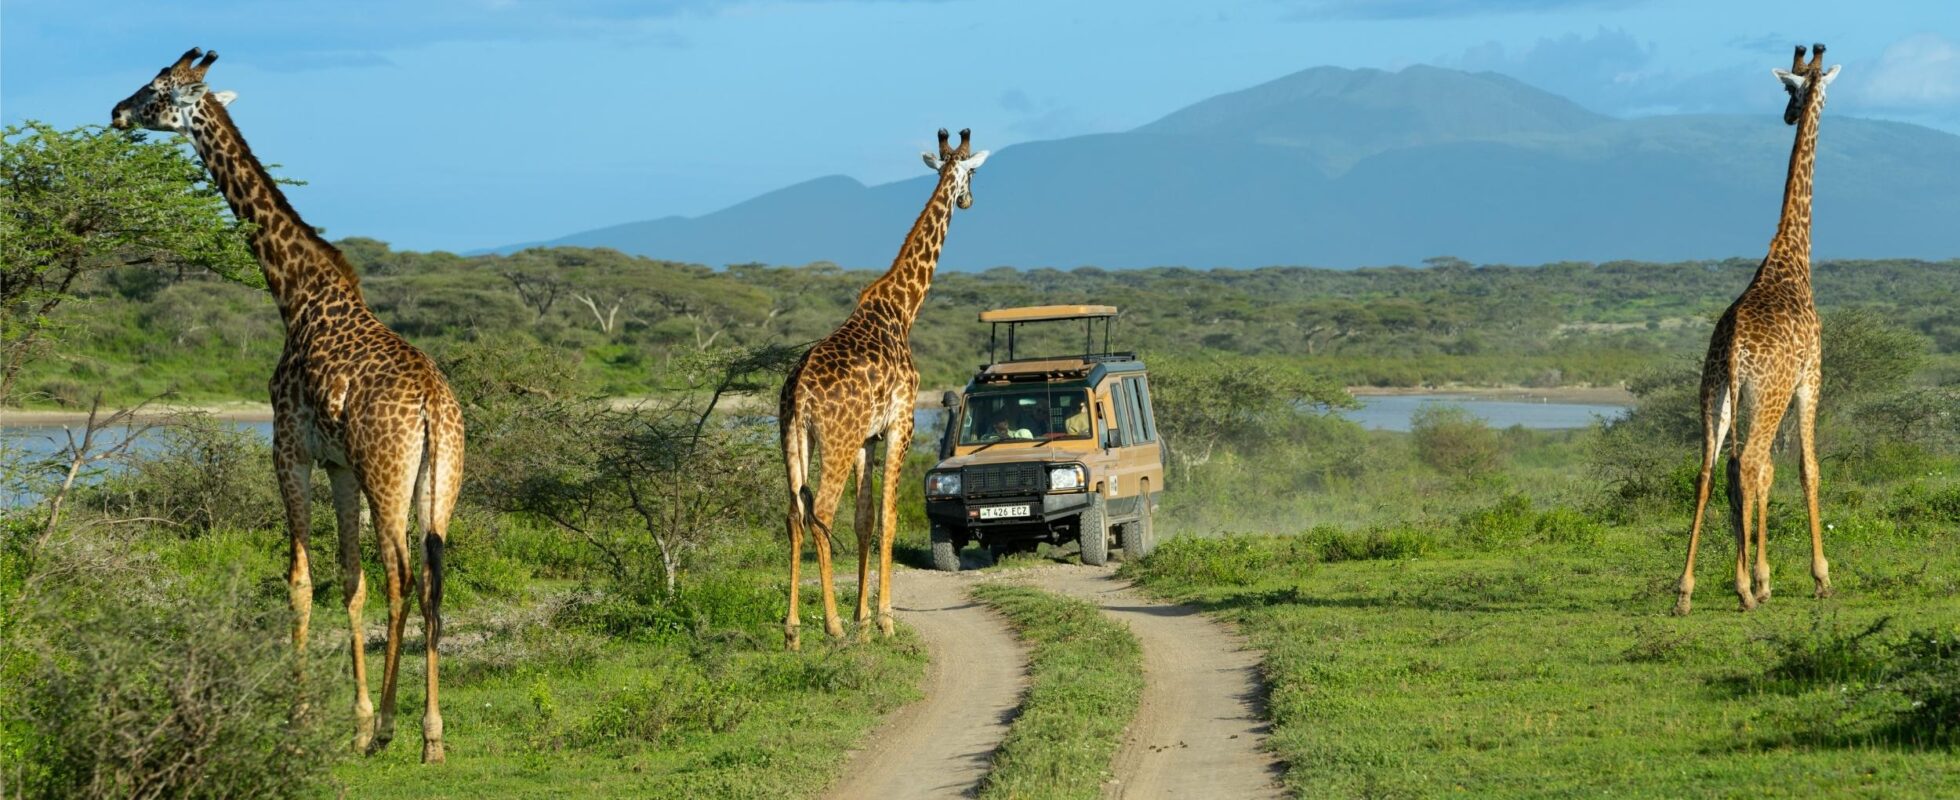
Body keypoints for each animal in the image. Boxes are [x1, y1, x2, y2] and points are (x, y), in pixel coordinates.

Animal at [113, 46, 462, 760]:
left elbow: (301, 584)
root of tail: (432, 407)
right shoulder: (338, 466)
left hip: (388, 477)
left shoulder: (289, 449)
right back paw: (430, 736)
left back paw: (395, 728)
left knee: (404, 578)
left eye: (157, 89)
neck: (293, 293)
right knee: (433, 582)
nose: (115, 112)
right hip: (440, 483)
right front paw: (354, 718)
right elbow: (349, 583)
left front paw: (301, 721)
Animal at [776, 126, 987, 650]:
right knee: (819, 512)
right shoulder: (901, 423)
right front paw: (884, 620)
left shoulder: (865, 439)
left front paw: (864, 619)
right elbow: (889, 517)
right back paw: (829, 627)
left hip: (793, 439)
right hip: (833, 439)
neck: (901, 307)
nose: (968, 201)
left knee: (793, 515)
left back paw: (792, 631)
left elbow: (865, 519)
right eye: (972, 173)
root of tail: (800, 394)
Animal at [1669, 45, 1834, 619]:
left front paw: (1764, 578)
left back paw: (1685, 590)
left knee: (1708, 470)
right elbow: (1805, 468)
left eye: (1791, 91)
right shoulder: (1811, 376)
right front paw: (1815, 577)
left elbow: (1766, 477)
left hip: (1714, 390)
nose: (1787, 114)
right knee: (1749, 463)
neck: (1791, 255)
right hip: (1765, 395)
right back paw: (1741, 587)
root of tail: (1737, 348)